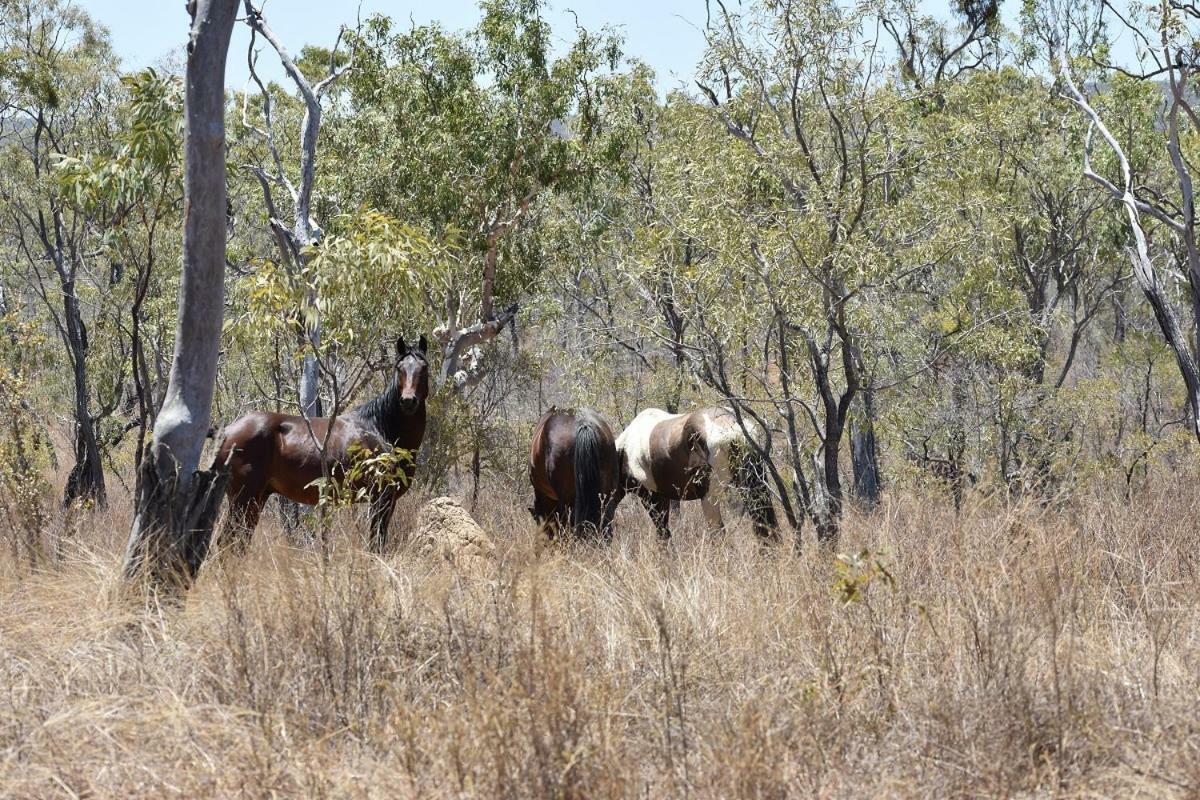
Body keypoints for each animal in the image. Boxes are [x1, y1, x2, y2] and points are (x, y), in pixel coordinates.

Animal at [217, 335, 432, 554]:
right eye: (399, 368)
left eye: (424, 367)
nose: (408, 401)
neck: (379, 427)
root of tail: (227, 431)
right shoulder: (381, 498)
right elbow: (376, 544)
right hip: (244, 499)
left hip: (256, 499)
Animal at [619, 407, 777, 544]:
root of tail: (734, 430)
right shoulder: (662, 498)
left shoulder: (652, 497)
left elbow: (663, 533)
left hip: (710, 497)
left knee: (718, 532)